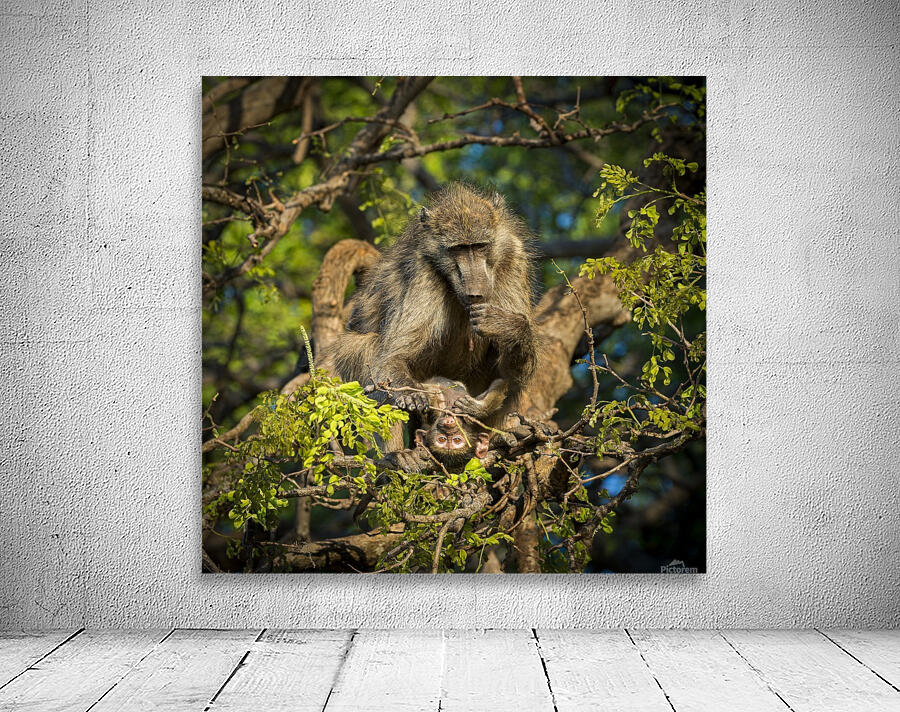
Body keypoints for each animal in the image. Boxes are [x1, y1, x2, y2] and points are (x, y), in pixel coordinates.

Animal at [322, 183, 537, 444]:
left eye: (479, 246)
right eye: (458, 249)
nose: (476, 292)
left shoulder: (514, 257)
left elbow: (511, 373)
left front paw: (507, 326)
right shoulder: (423, 270)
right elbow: (393, 356)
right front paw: (409, 394)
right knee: (367, 348)